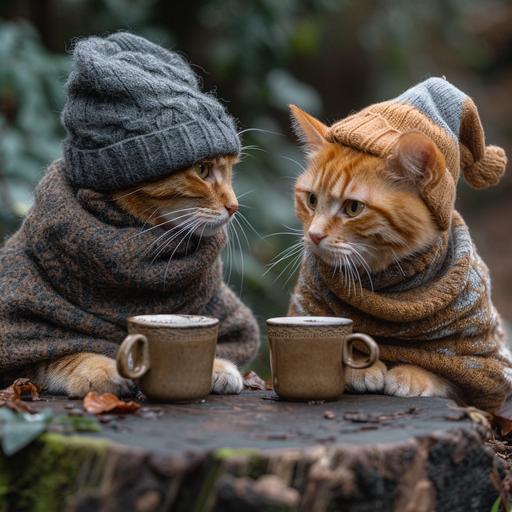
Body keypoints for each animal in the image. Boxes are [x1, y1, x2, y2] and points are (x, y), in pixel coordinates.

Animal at [38, 155, 244, 396]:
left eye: (230, 170)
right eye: (201, 169)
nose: (234, 207)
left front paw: (216, 367)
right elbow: (65, 354)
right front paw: (103, 370)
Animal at [290, 106, 454, 398]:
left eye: (354, 208)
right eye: (311, 200)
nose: (314, 235)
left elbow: (444, 372)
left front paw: (413, 374)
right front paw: (360, 368)